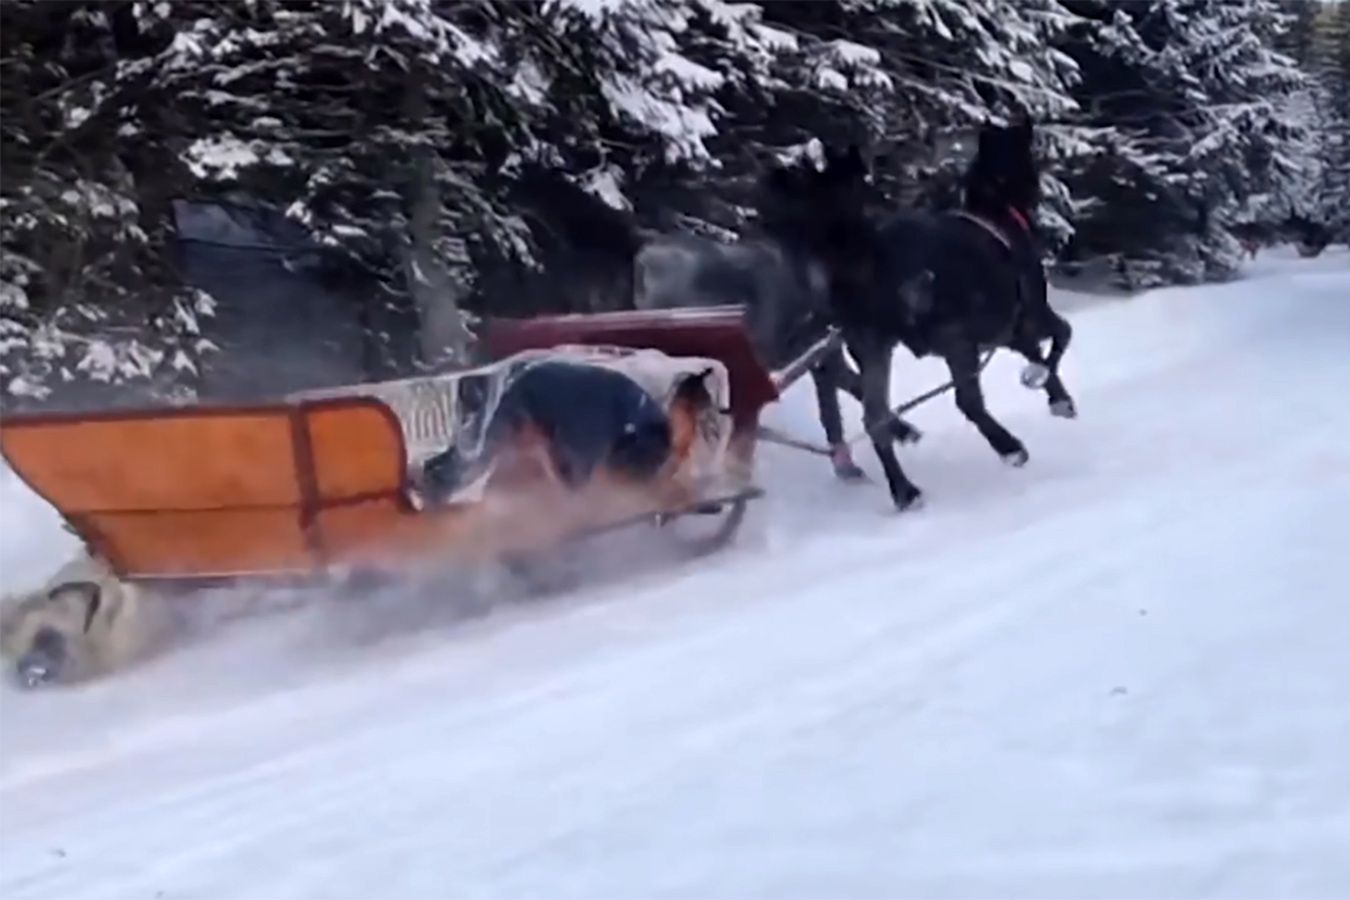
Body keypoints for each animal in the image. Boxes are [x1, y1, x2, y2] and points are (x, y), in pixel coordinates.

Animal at [777, 122, 1080, 510]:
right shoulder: (1031, 316)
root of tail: (869, 259)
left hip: (875, 347)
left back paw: (904, 490)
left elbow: (1040, 351)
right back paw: (1009, 447)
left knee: (875, 418)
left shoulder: (1011, 331)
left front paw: (1055, 393)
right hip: (955, 340)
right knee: (967, 401)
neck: (996, 211)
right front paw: (1050, 391)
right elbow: (1061, 337)